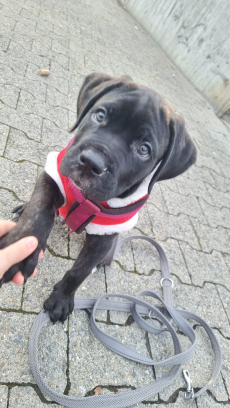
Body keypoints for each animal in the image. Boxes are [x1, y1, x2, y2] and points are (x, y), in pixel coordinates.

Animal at [0, 72, 197, 322]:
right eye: (100, 115)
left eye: (144, 150)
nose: (92, 161)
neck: (87, 198)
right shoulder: (53, 176)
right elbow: (38, 212)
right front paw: (20, 249)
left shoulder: (105, 236)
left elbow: (80, 270)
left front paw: (61, 299)